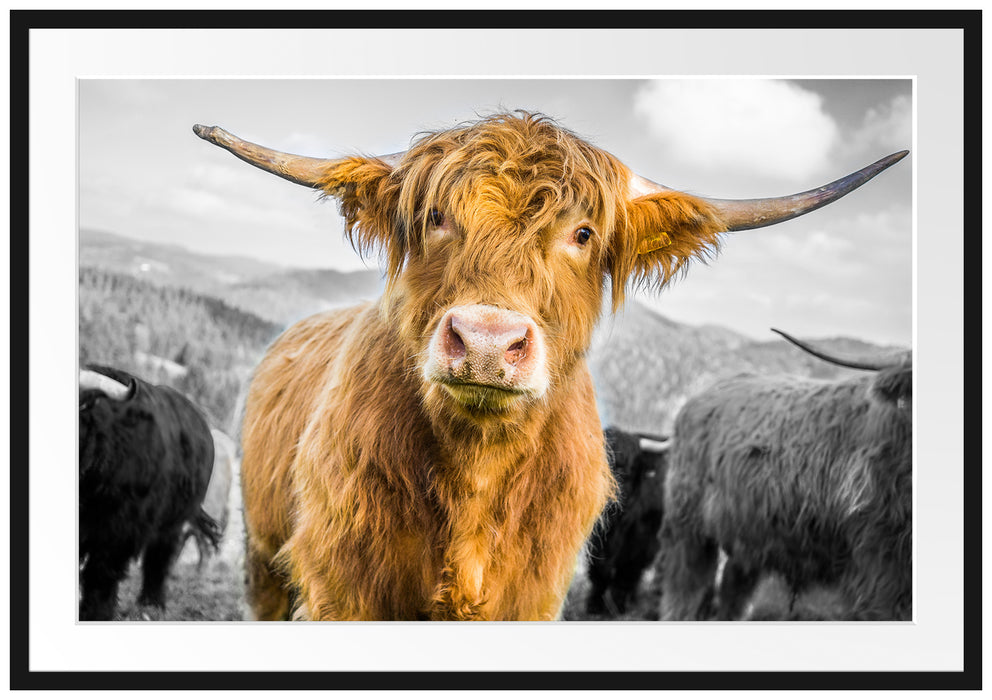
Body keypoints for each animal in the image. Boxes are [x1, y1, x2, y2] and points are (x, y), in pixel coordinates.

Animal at [78, 365, 220, 620]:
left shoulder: (119, 528)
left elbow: (101, 572)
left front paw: (96, 612)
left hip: (172, 522)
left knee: (159, 558)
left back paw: (152, 603)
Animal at [585, 427, 669, 618]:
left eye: (628, 469)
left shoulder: (642, 541)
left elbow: (627, 573)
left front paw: (618, 607)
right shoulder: (598, 538)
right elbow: (599, 570)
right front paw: (594, 605)